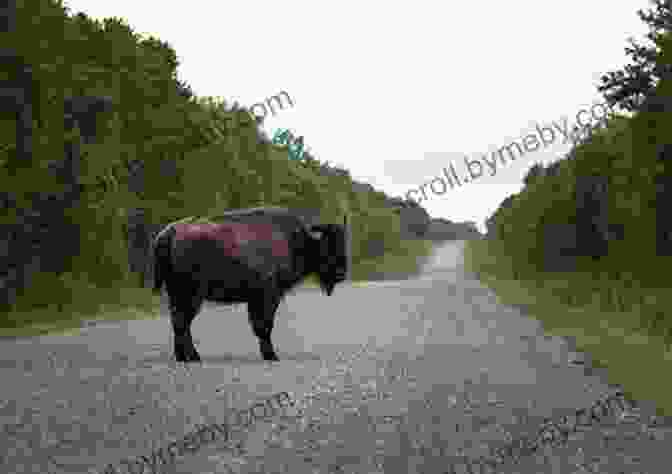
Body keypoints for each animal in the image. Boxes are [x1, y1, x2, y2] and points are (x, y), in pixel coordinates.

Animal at [152, 207, 346, 362]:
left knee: (179, 322)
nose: (341, 273)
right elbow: (264, 325)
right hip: (191, 295)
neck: (299, 242)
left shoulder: (256, 300)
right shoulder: (268, 297)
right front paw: (271, 356)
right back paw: (193, 357)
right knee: (182, 321)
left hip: (177, 293)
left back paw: (183, 357)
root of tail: (169, 232)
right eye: (329, 244)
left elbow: (260, 325)